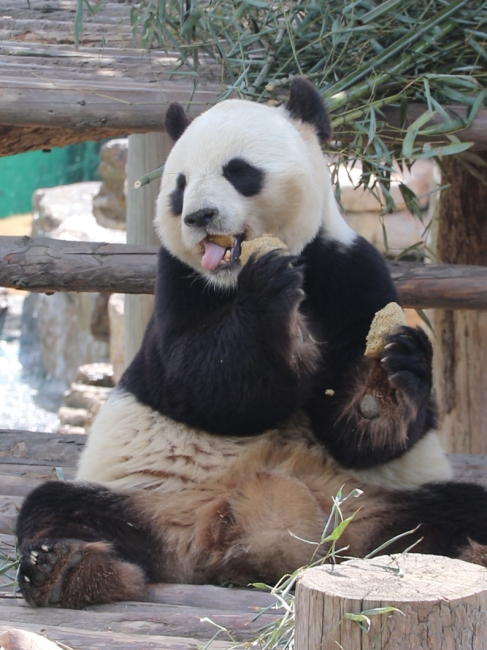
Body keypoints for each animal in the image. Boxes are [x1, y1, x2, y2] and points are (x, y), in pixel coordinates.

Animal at [16, 78, 487, 609]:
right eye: (179, 185)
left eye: (239, 171)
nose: (200, 216)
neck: (232, 276)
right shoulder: (176, 283)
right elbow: (199, 382)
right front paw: (272, 301)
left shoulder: (352, 268)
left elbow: (369, 438)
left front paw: (385, 385)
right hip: (152, 498)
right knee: (60, 506)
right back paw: (66, 568)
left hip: (365, 505)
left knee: (456, 511)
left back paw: (472, 551)